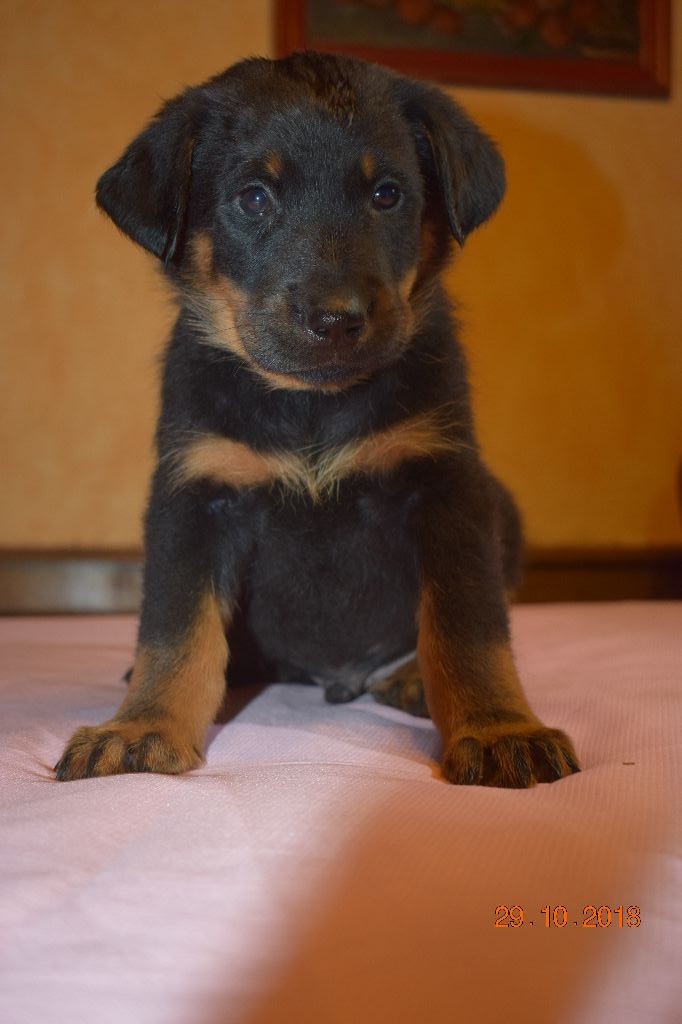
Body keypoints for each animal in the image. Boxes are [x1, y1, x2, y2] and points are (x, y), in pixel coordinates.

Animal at [55, 51, 579, 787]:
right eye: (254, 198)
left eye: (387, 194)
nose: (337, 319)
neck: (310, 404)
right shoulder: (195, 496)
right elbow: (174, 630)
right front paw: (143, 725)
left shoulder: (447, 487)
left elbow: (469, 627)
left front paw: (499, 727)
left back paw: (410, 679)